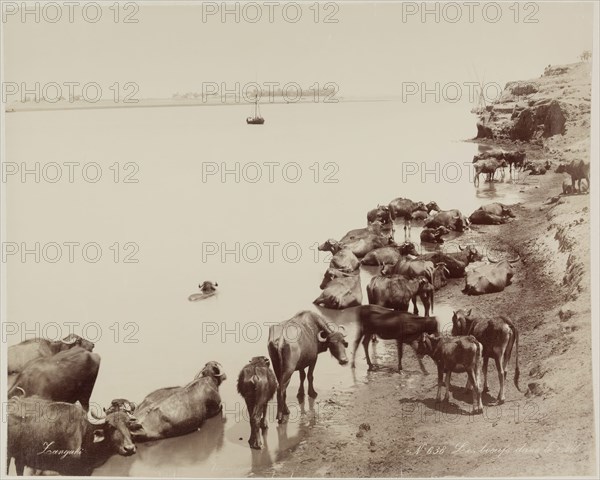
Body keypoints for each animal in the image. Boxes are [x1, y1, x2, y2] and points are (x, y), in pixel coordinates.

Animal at [7, 398, 140, 476]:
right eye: (110, 426)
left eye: (128, 424)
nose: (129, 448)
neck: (85, 435)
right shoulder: (66, 471)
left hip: (20, 459)